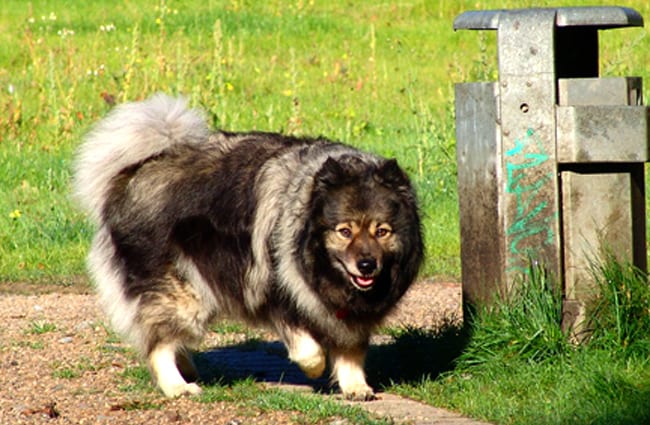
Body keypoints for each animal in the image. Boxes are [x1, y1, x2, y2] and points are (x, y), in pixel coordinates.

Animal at [73, 94, 422, 400]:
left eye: (382, 231)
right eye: (345, 231)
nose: (367, 265)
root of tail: (136, 171)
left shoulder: (351, 316)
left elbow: (351, 351)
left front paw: (355, 386)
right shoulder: (278, 292)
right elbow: (310, 349)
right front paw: (315, 369)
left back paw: (186, 368)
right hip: (182, 294)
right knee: (158, 343)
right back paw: (176, 386)